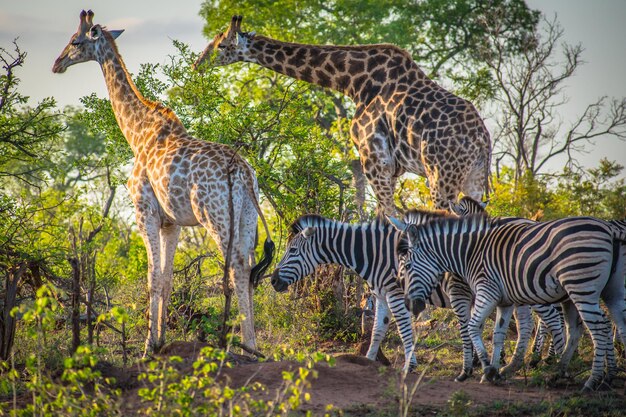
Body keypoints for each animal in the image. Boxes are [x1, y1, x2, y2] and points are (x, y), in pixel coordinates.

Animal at [54, 9, 276, 352]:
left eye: (75, 41)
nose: (57, 63)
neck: (137, 133)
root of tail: (243, 173)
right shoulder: (172, 222)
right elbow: (168, 278)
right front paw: (160, 341)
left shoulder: (144, 211)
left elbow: (152, 278)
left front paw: (149, 346)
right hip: (248, 217)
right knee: (250, 268)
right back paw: (249, 344)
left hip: (216, 216)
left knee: (238, 267)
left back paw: (247, 345)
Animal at [193, 14, 490, 213]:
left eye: (221, 45)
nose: (198, 63)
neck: (354, 83)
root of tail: (482, 141)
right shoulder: (389, 168)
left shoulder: (375, 161)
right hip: (474, 179)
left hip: (440, 176)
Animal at [392, 213, 624, 392]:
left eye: (408, 266)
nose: (409, 304)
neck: (469, 253)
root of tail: (608, 227)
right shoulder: (504, 300)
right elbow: (497, 334)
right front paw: (493, 372)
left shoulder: (486, 290)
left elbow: (472, 327)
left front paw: (486, 368)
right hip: (604, 291)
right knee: (597, 326)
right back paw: (587, 375)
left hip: (581, 287)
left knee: (599, 327)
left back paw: (590, 381)